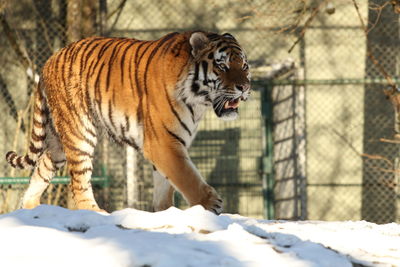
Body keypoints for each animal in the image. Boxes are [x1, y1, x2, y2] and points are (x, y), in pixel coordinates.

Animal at [5, 30, 250, 216]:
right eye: (222, 66)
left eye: (245, 66)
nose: (245, 87)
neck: (198, 101)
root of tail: (49, 60)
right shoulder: (163, 142)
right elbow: (187, 176)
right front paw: (210, 204)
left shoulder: (170, 143)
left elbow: (165, 185)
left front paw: (165, 213)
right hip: (80, 132)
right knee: (78, 181)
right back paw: (96, 212)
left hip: (58, 141)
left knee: (43, 164)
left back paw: (31, 209)